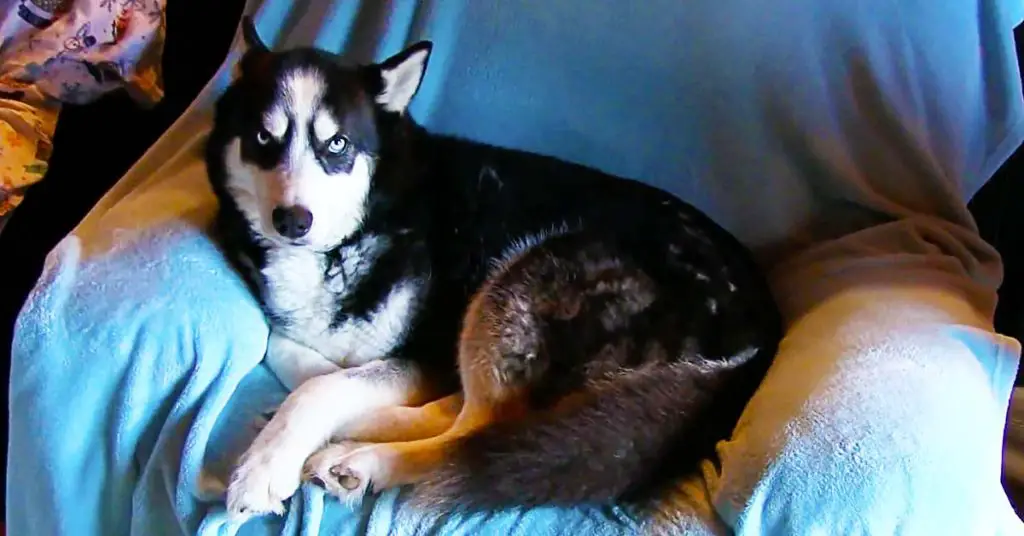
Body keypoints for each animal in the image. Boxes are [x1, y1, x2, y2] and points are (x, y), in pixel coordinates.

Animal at [207, 17, 782, 524]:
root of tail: (760, 334)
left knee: (477, 435)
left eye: (337, 145)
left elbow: (320, 389)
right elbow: (290, 352)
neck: (359, 226)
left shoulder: (427, 353)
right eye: (263, 139)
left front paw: (264, 466)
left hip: (524, 278)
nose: (292, 220)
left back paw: (363, 460)